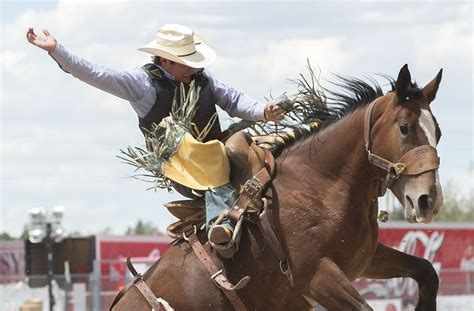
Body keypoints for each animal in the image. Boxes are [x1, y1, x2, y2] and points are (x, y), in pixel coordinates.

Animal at [111, 64, 444, 310]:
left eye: (438, 131)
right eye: (404, 127)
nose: (429, 200)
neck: (321, 185)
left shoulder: (365, 260)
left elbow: (427, 271)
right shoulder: (316, 275)